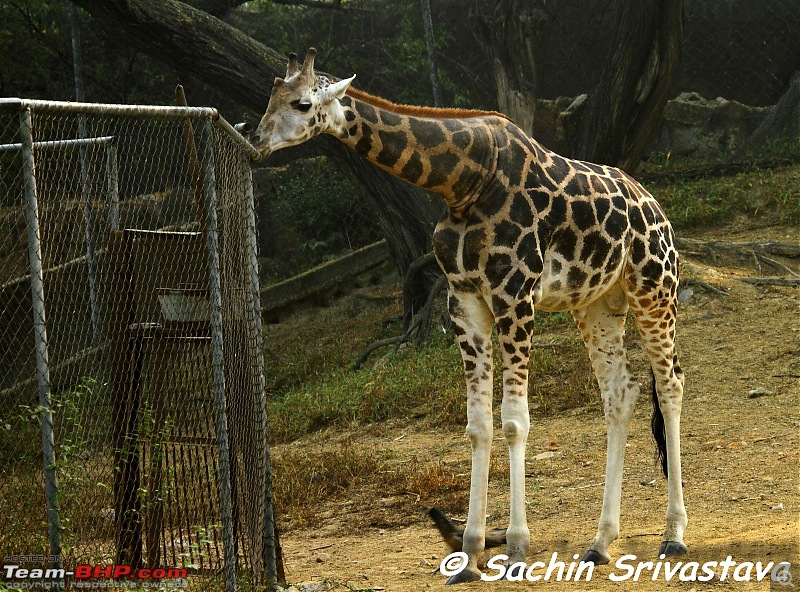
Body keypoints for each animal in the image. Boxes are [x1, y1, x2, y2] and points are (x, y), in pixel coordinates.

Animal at [252, 49, 688, 584]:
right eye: (269, 97)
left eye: (302, 102)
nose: (257, 142)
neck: (461, 183)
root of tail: (658, 208)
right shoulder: (464, 300)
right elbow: (478, 425)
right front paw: (470, 553)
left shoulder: (514, 294)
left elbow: (515, 421)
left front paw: (517, 548)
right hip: (597, 304)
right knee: (620, 394)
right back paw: (601, 541)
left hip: (654, 286)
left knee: (669, 383)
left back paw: (674, 534)